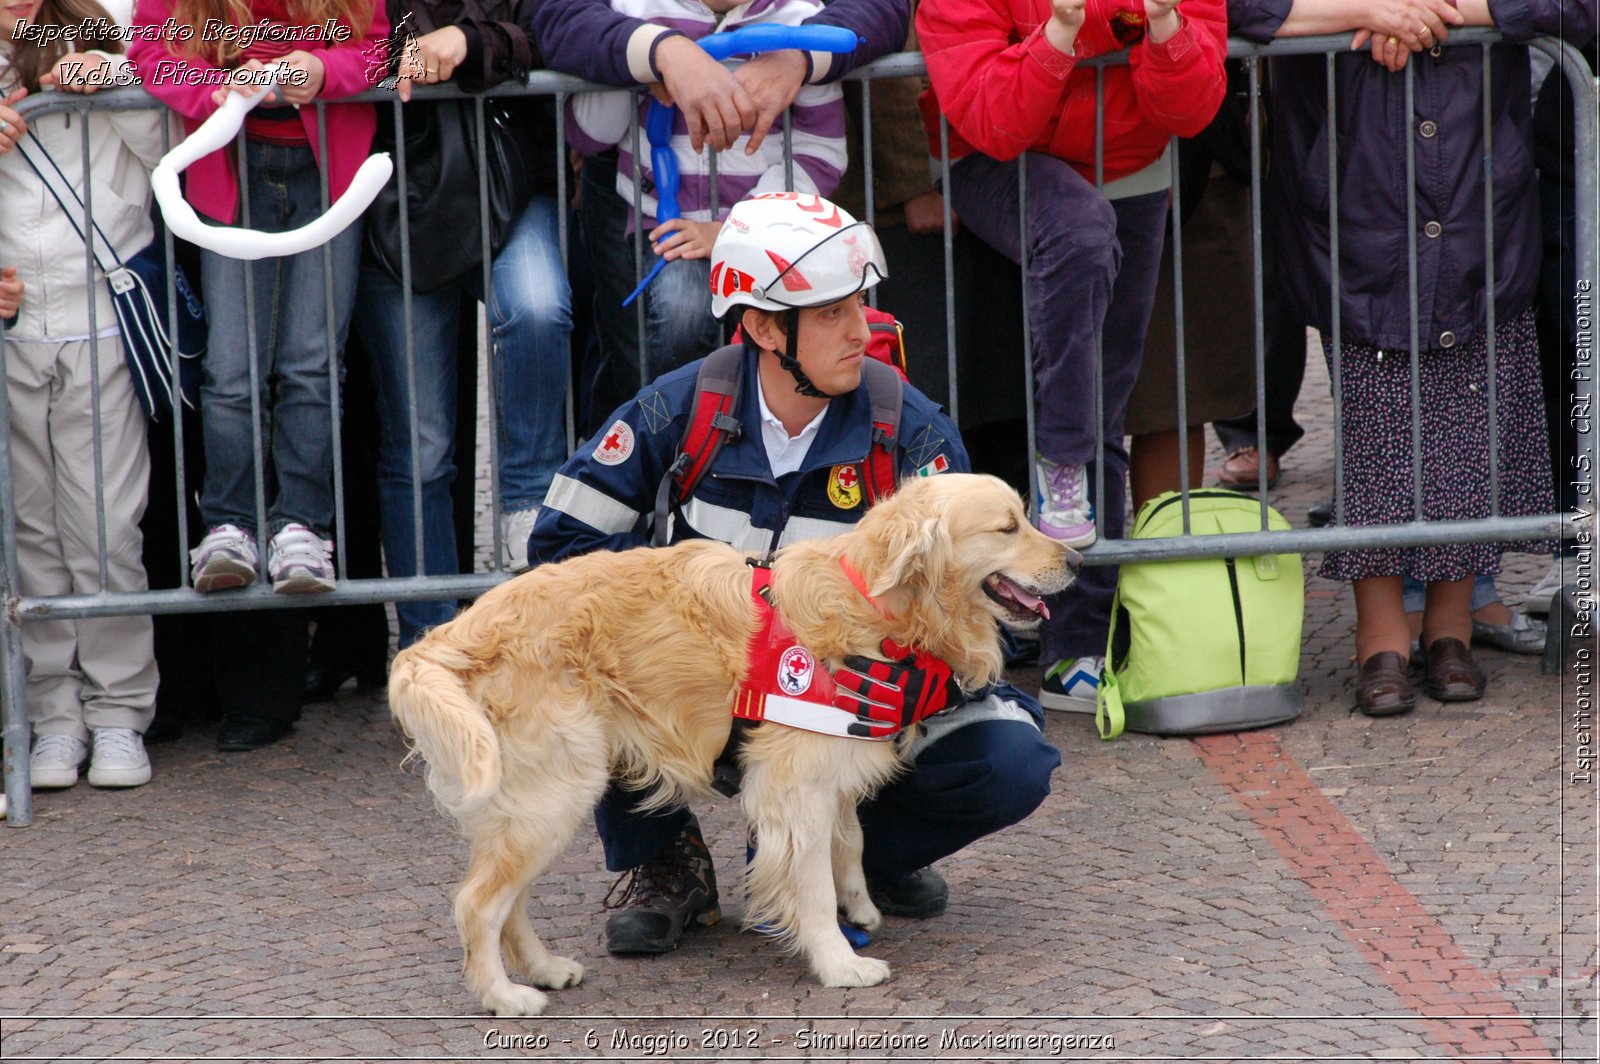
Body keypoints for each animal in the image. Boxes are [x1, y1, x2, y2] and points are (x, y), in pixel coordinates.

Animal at [393, 470, 1081, 1011]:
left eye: (1024, 517)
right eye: (1007, 527)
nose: (1077, 562)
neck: (875, 603)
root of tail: (454, 632)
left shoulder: (830, 770)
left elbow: (851, 843)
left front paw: (860, 907)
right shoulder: (794, 789)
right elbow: (811, 884)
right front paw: (839, 961)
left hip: (539, 801)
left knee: (509, 903)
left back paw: (543, 970)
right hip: (556, 791)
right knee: (478, 904)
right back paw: (504, 996)